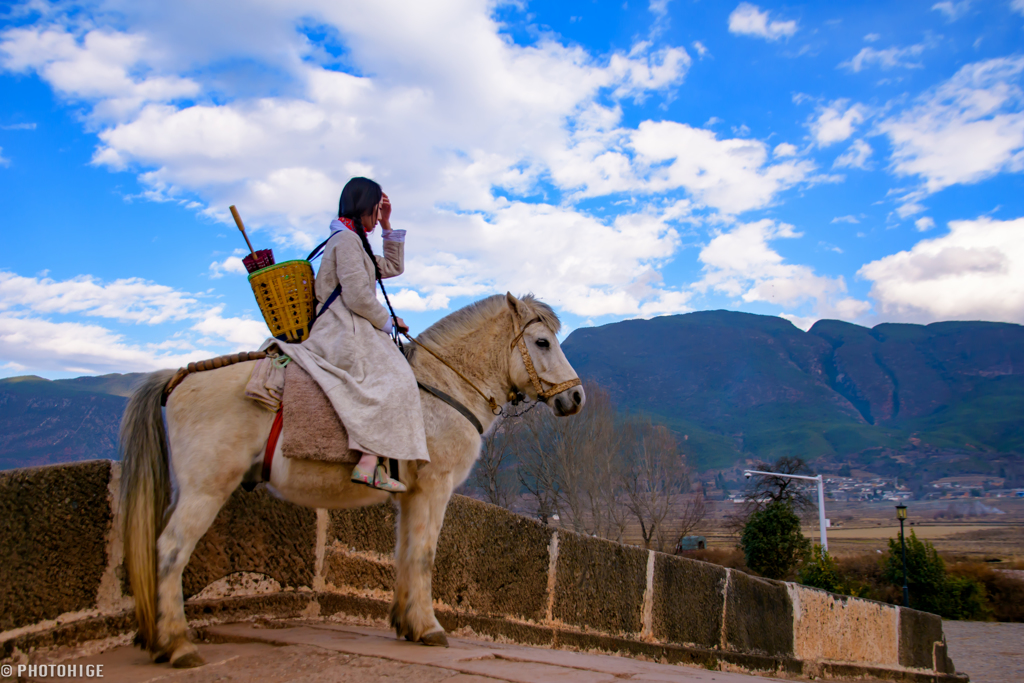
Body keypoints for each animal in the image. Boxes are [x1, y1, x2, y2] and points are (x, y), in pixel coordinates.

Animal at [117, 292, 585, 667]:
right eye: (542, 342)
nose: (576, 396)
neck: (443, 388)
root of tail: (180, 375)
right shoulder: (434, 488)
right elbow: (424, 555)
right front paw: (429, 627)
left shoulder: (411, 494)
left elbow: (405, 552)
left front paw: (407, 623)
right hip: (205, 488)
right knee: (169, 551)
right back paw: (177, 645)